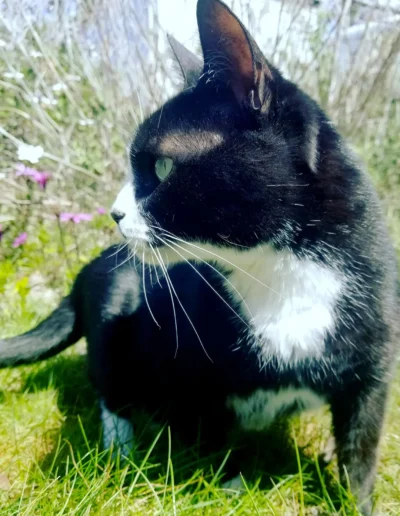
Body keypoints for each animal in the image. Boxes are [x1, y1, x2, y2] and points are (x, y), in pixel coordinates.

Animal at [1, 1, 398, 512]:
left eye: (162, 165)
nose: (114, 212)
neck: (280, 271)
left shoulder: (374, 362)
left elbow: (361, 448)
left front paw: (354, 501)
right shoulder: (186, 364)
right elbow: (207, 428)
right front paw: (227, 482)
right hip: (114, 304)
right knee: (109, 387)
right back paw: (120, 446)